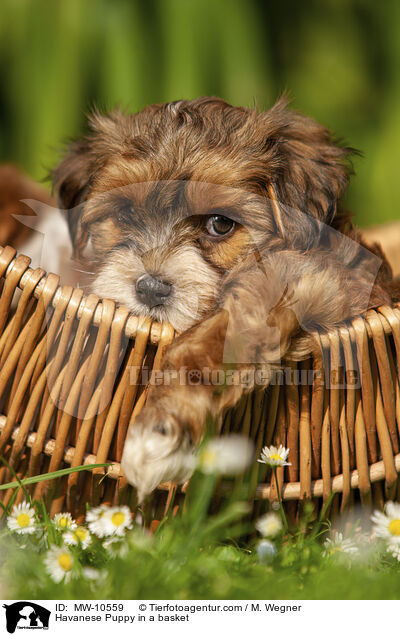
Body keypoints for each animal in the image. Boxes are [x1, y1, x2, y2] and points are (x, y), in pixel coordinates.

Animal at [50, 95, 400, 502]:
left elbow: (205, 341)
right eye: (126, 213)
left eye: (220, 224)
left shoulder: (304, 274)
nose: (150, 288)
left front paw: (160, 427)